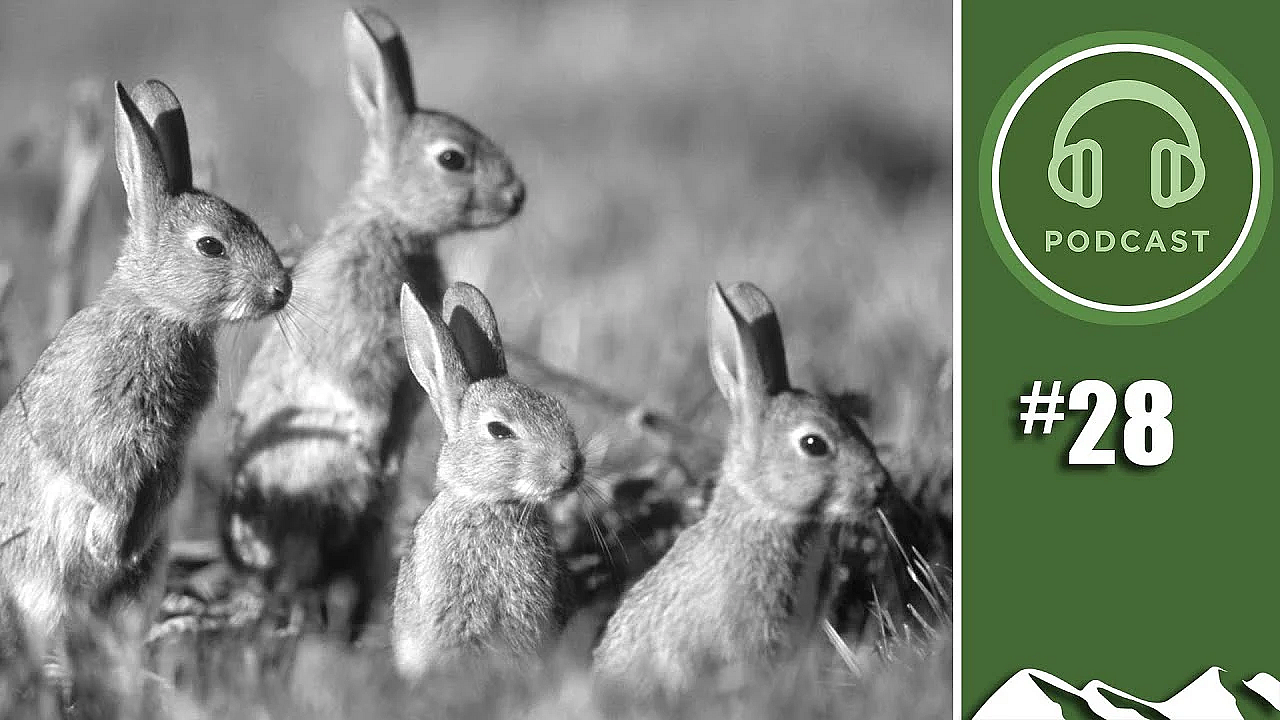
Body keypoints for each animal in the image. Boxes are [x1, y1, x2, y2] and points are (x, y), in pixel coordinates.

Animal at [0, 80, 289, 648]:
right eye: (210, 246)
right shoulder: (107, 434)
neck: (158, 311)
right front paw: (107, 544)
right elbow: (105, 484)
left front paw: (121, 550)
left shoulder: (168, 451)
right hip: (37, 575)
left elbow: (159, 492)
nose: (282, 288)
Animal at [219, 6, 525, 641]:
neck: (391, 223)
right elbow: (357, 384)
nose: (518, 196)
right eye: (453, 159)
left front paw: (388, 452)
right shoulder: (353, 334)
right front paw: (373, 443)